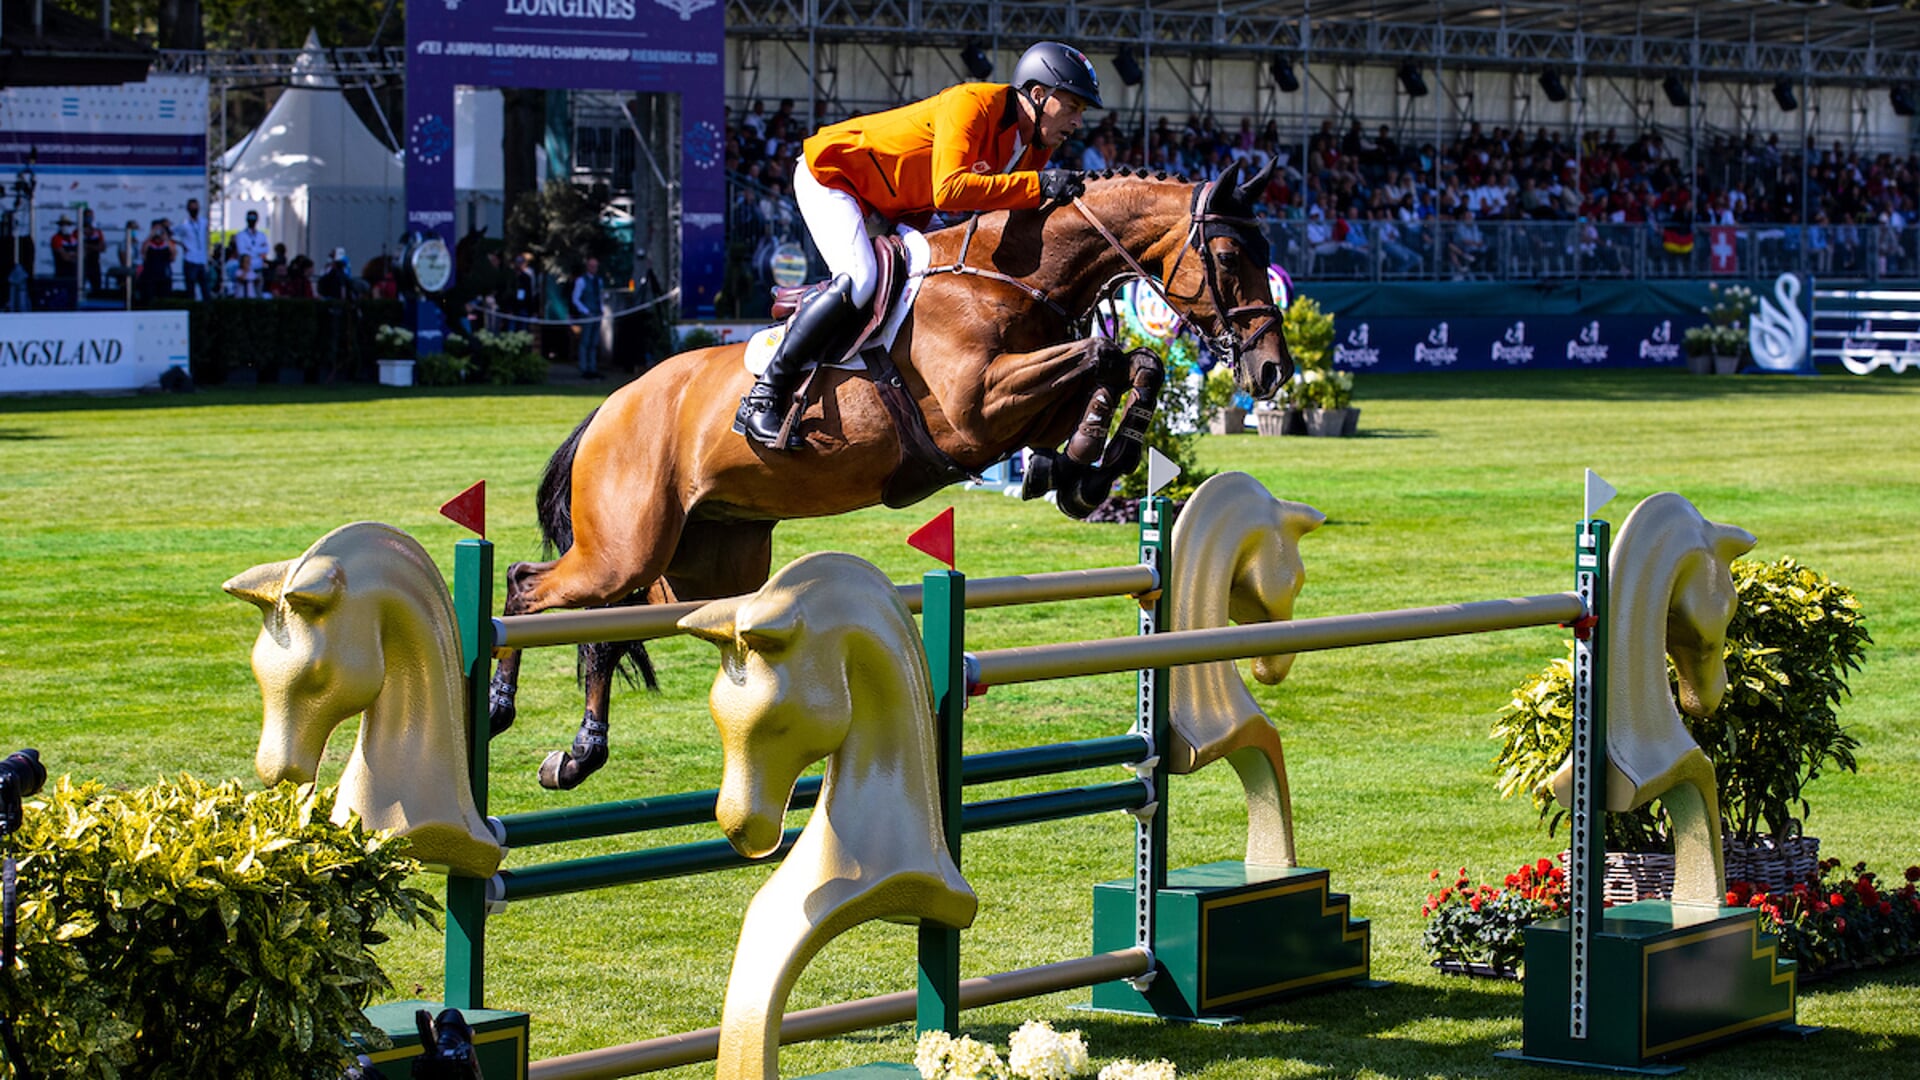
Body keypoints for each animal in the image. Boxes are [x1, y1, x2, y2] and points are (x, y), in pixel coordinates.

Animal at [491, 155, 1290, 787]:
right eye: (1228, 257)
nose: (1272, 369)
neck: (1010, 277)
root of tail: (611, 407)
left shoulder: (1022, 407)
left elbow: (1132, 361)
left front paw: (1087, 469)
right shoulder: (973, 410)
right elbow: (1103, 354)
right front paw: (1089, 459)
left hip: (698, 566)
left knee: (608, 626)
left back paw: (578, 755)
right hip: (624, 545)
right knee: (528, 586)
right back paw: (501, 709)